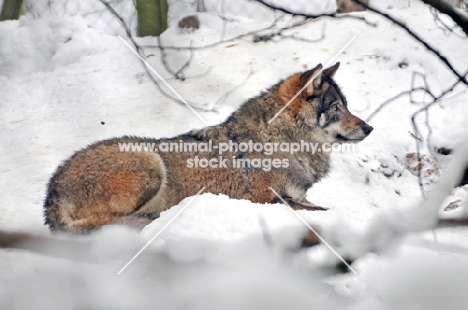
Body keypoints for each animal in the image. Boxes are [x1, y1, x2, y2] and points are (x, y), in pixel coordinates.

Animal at [44, 62, 372, 232]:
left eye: (346, 106)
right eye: (337, 108)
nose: (369, 128)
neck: (284, 140)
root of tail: (52, 193)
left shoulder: (295, 196)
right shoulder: (265, 199)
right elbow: (327, 210)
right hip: (149, 162)